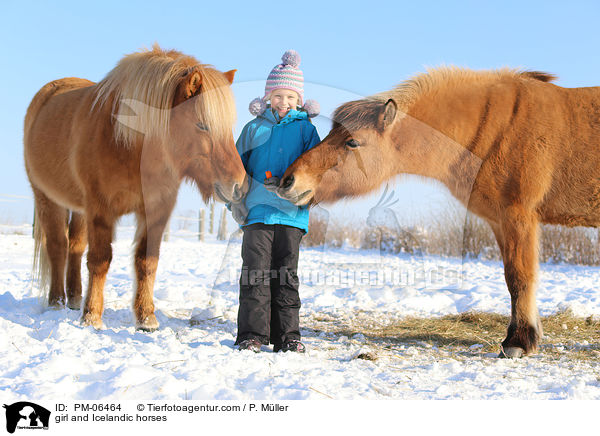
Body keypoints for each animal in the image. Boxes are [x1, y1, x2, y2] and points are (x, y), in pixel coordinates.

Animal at [25, 44, 246, 330]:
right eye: (202, 125)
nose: (239, 185)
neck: (127, 144)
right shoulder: (100, 208)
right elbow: (100, 260)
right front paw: (92, 317)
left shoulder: (156, 209)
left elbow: (147, 260)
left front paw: (146, 317)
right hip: (47, 199)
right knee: (57, 247)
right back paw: (56, 302)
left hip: (79, 209)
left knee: (74, 246)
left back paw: (74, 299)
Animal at [278, 67, 600, 358]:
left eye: (352, 141)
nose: (288, 181)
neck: (500, 128)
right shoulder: (499, 222)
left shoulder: (518, 217)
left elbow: (520, 277)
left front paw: (518, 341)